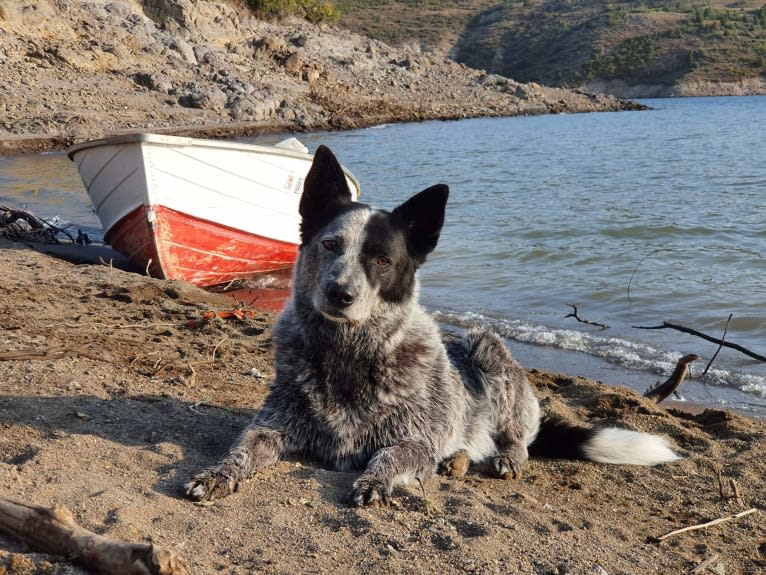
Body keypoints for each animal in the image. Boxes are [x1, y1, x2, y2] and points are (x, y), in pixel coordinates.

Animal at [184, 146, 680, 506]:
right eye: (329, 245)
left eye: (382, 259)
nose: (339, 294)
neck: (348, 352)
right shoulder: (270, 427)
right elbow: (242, 447)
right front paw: (217, 473)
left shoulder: (416, 440)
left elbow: (390, 455)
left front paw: (375, 482)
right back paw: (458, 459)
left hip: (487, 347)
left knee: (517, 436)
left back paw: (503, 457)